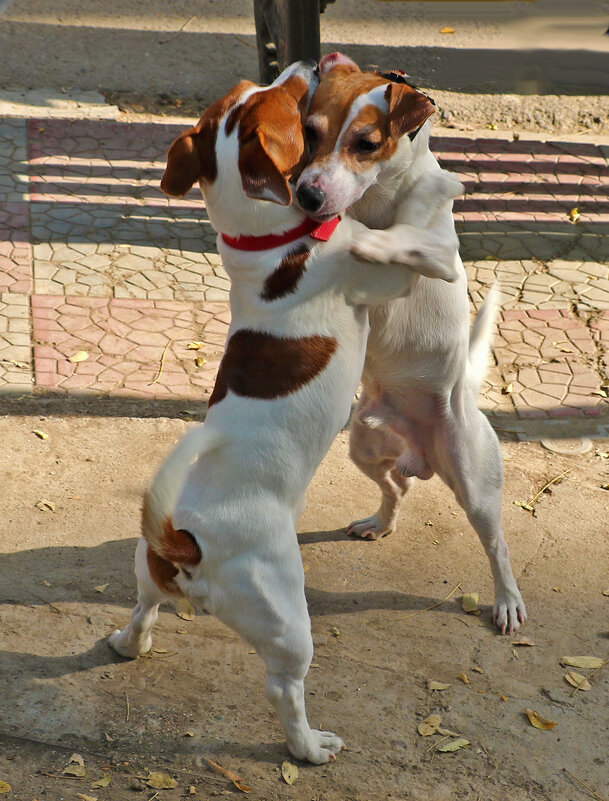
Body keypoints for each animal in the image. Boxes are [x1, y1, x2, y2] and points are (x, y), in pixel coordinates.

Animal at [110, 59, 460, 760]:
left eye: (256, 90)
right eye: (289, 100)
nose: (306, 63)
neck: (263, 239)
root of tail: (186, 544)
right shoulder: (393, 270)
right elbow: (406, 231)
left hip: (146, 573)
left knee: (141, 611)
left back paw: (127, 644)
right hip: (286, 619)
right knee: (283, 688)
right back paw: (311, 746)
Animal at [296, 53, 524, 636]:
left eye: (367, 143)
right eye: (310, 132)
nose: (306, 195)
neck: (377, 199)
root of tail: (422, 452)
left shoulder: (435, 250)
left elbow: (396, 233)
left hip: (476, 487)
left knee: (497, 545)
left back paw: (507, 601)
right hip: (362, 445)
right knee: (396, 489)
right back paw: (379, 521)